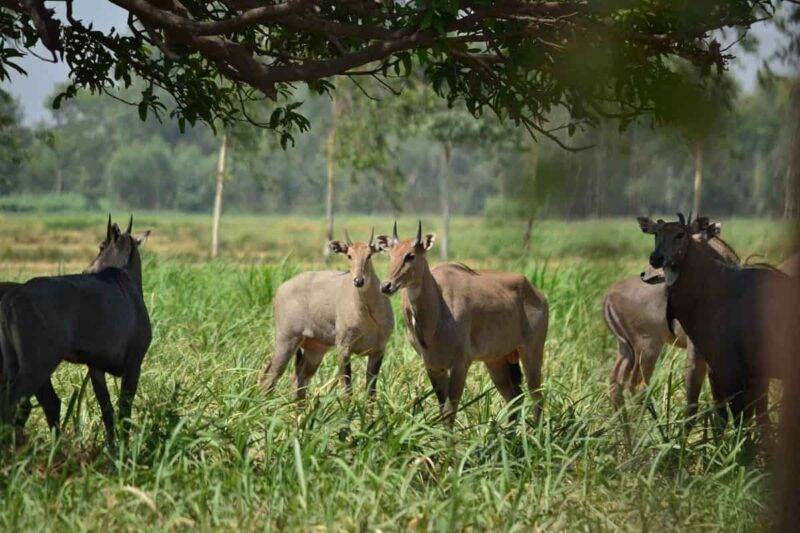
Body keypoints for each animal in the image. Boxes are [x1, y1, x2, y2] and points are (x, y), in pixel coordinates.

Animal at [260, 229, 394, 400]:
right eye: (349, 255)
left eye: (369, 255)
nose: (358, 281)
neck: (367, 313)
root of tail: (281, 288)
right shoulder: (343, 348)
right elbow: (347, 388)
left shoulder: (378, 350)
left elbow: (371, 391)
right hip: (286, 340)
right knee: (270, 376)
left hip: (315, 349)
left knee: (299, 379)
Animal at [378, 220, 548, 424]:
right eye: (390, 255)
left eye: (410, 255)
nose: (386, 286)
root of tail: (536, 292)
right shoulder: (433, 366)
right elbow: (442, 409)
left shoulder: (460, 363)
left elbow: (450, 411)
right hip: (496, 360)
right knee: (514, 398)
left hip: (531, 351)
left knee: (536, 396)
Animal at [608, 219, 744, 420]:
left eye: (681, 237)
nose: (646, 271)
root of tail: (608, 297)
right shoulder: (696, 348)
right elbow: (695, 393)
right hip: (647, 347)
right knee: (636, 384)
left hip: (627, 348)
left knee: (616, 380)